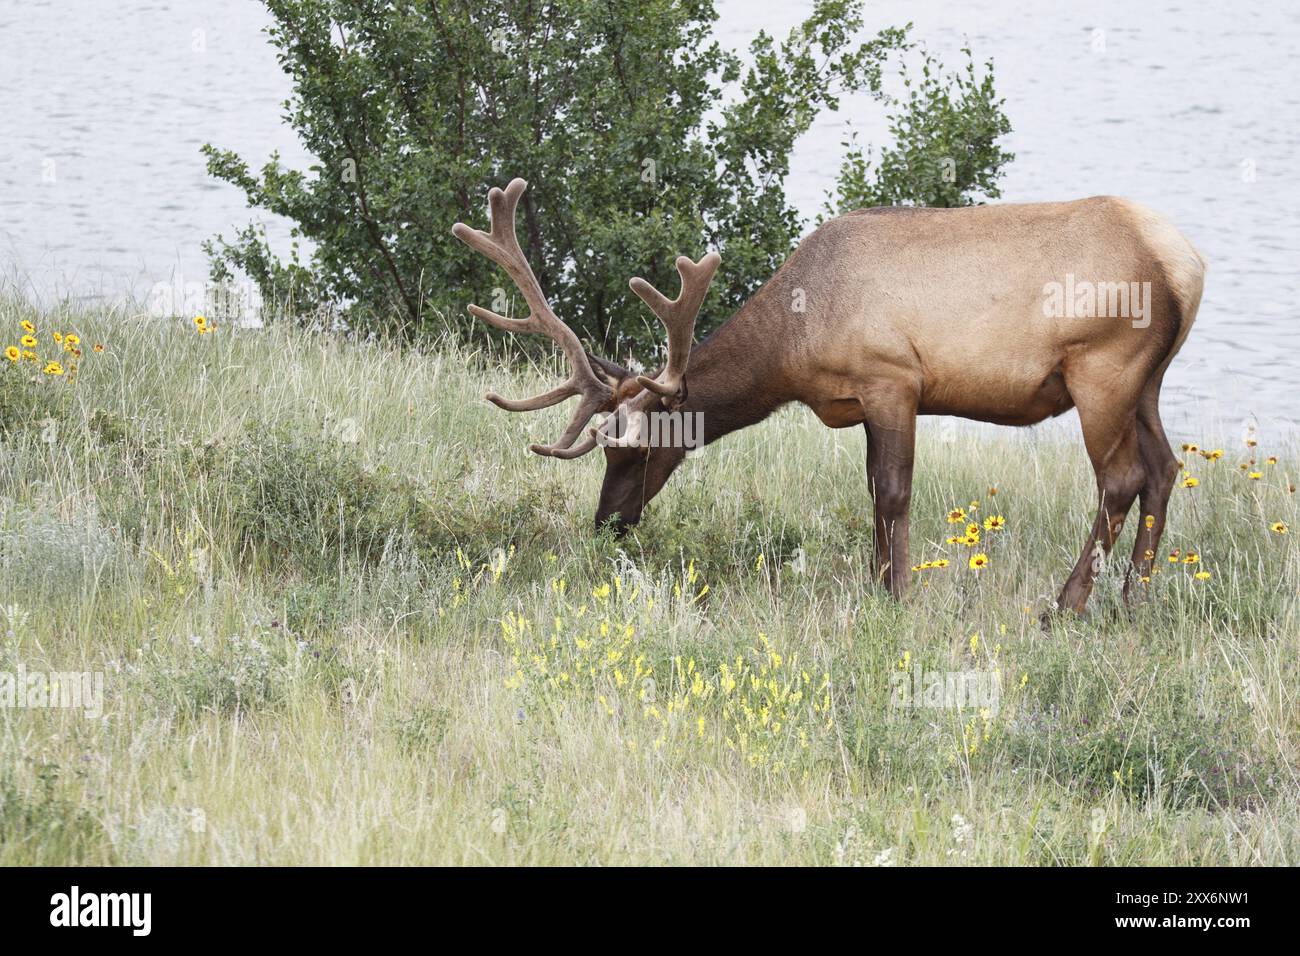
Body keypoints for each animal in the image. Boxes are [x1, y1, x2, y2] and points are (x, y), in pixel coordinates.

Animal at [457, 178, 1206, 613]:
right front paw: (879, 584)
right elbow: (873, 490)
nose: (607, 522)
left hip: (1103, 368)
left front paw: (898, 596)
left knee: (1121, 478)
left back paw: (1068, 604)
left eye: (634, 451)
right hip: (1149, 380)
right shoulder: (864, 401)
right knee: (1165, 469)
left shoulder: (892, 377)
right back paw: (1135, 598)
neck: (795, 343)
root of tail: (1187, 265)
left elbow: (894, 492)